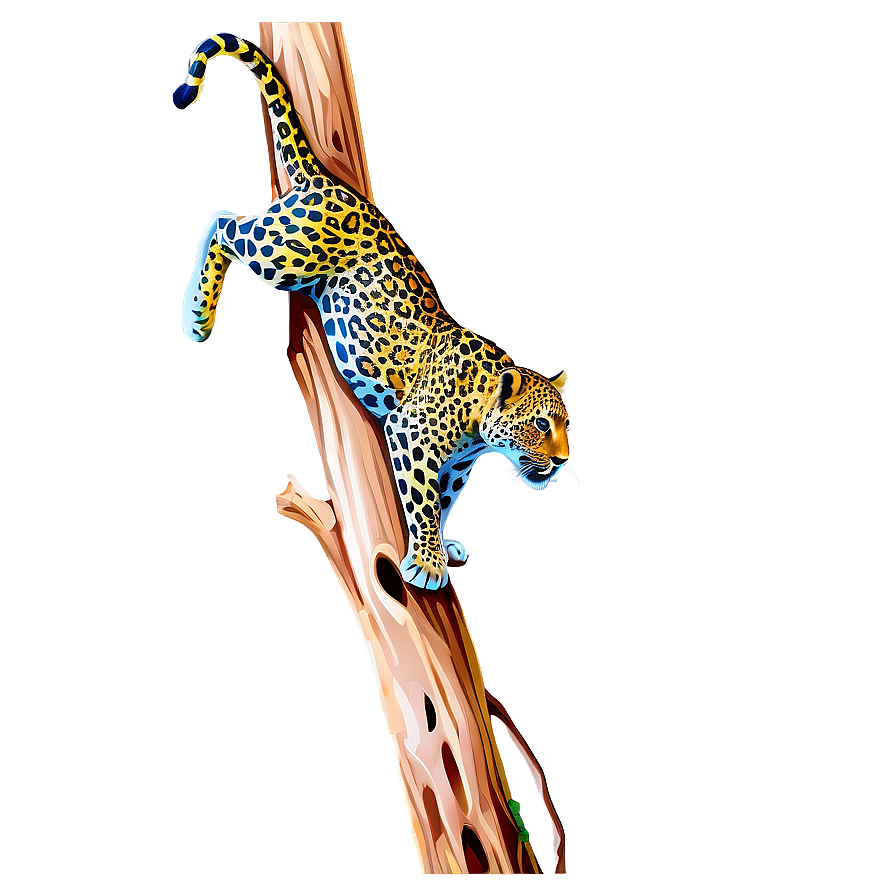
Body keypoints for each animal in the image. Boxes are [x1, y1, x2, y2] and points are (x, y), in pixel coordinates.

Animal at [173, 32, 571, 590]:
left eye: (566, 425)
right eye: (539, 425)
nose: (564, 462)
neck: (479, 418)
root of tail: (329, 182)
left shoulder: (457, 465)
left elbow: (442, 503)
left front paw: (444, 547)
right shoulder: (411, 434)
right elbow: (424, 503)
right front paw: (427, 563)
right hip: (282, 255)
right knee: (222, 221)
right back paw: (197, 314)